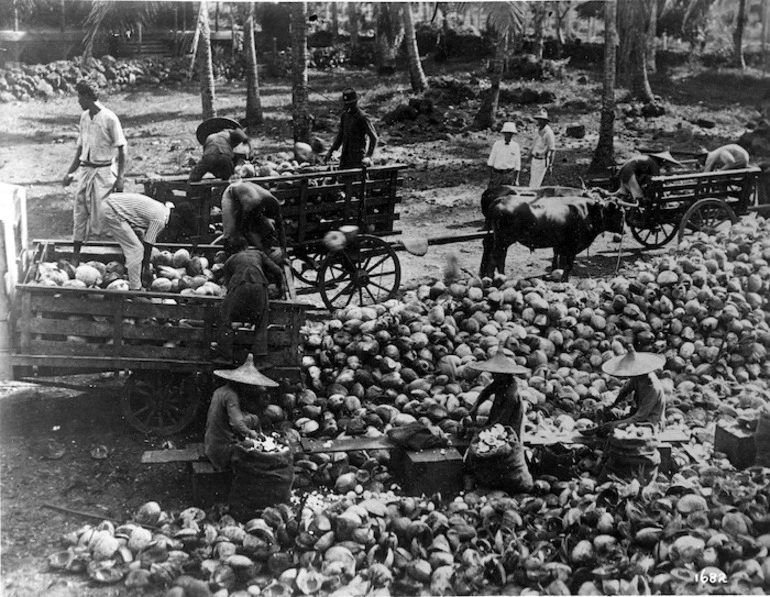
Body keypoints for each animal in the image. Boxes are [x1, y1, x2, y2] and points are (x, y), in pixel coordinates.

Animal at [480, 194, 624, 280]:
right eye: (621, 213)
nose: (624, 230)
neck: (588, 211)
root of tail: (502, 199)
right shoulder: (572, 245)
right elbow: (568, 264)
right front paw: (564, 280)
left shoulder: (561, 245)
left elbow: (559, 261)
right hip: (502, 240)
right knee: (495, 257)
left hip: (499, 240)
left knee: (496, 256)